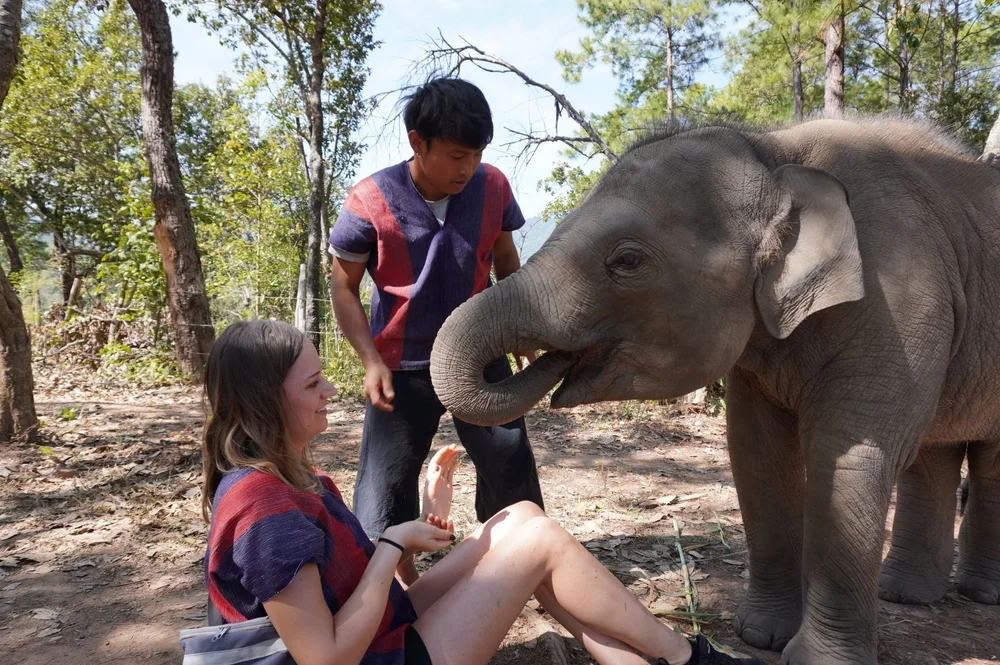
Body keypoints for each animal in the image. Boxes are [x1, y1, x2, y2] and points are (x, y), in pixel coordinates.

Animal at [428, 119, 1000, 665]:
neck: (775, 153)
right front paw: (760, 635)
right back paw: (906, 596)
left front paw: (814, 660)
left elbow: (851, 457)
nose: (536, 359)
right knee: (934, 454)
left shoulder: (901, 302)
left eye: (627, 261)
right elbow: (755, 452)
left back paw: (977, 595)